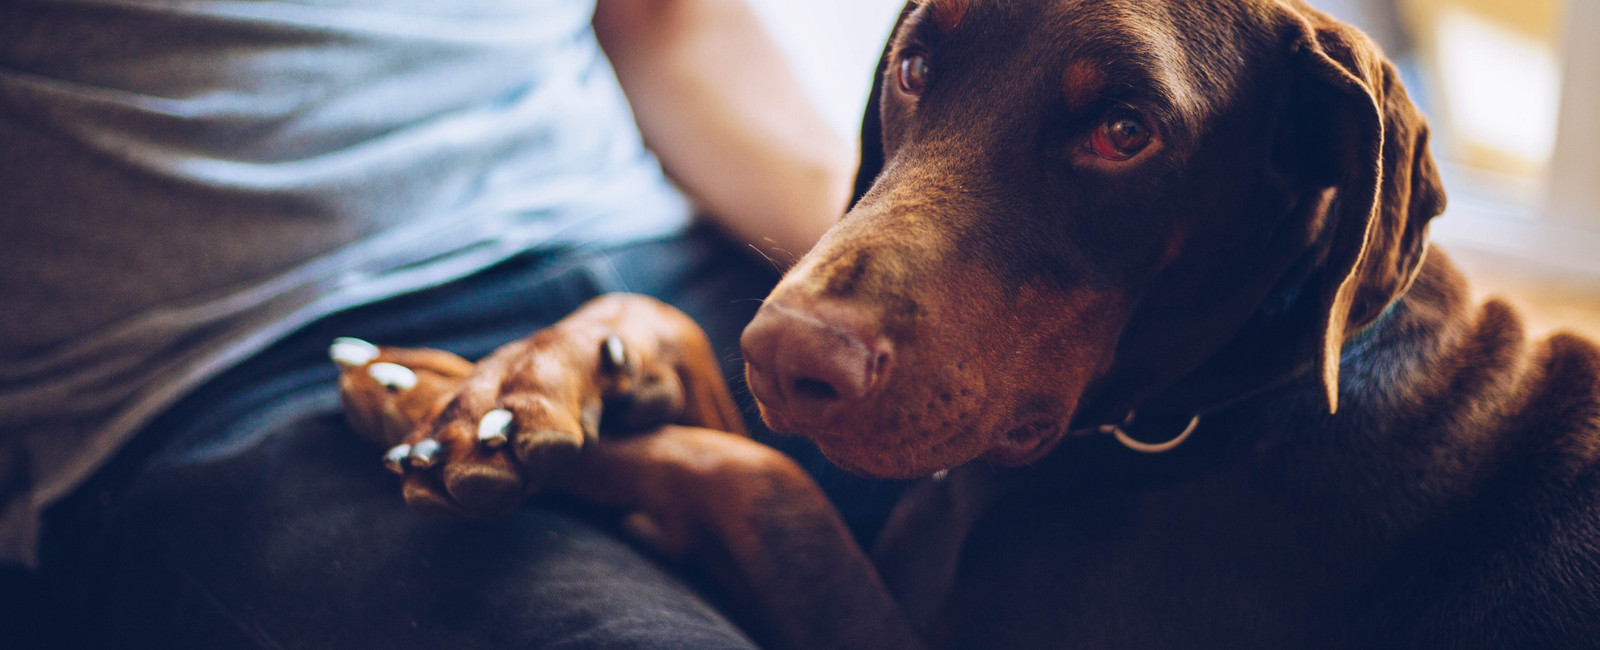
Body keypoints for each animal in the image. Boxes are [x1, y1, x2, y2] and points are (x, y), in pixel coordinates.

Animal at [334, 2, 1600, 646]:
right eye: (911, 65)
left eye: (1125, 130)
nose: (785, 356)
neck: (1217, 402)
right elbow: (700, 387)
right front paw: (515, 385)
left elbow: (755, 477)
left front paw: (458, 397)